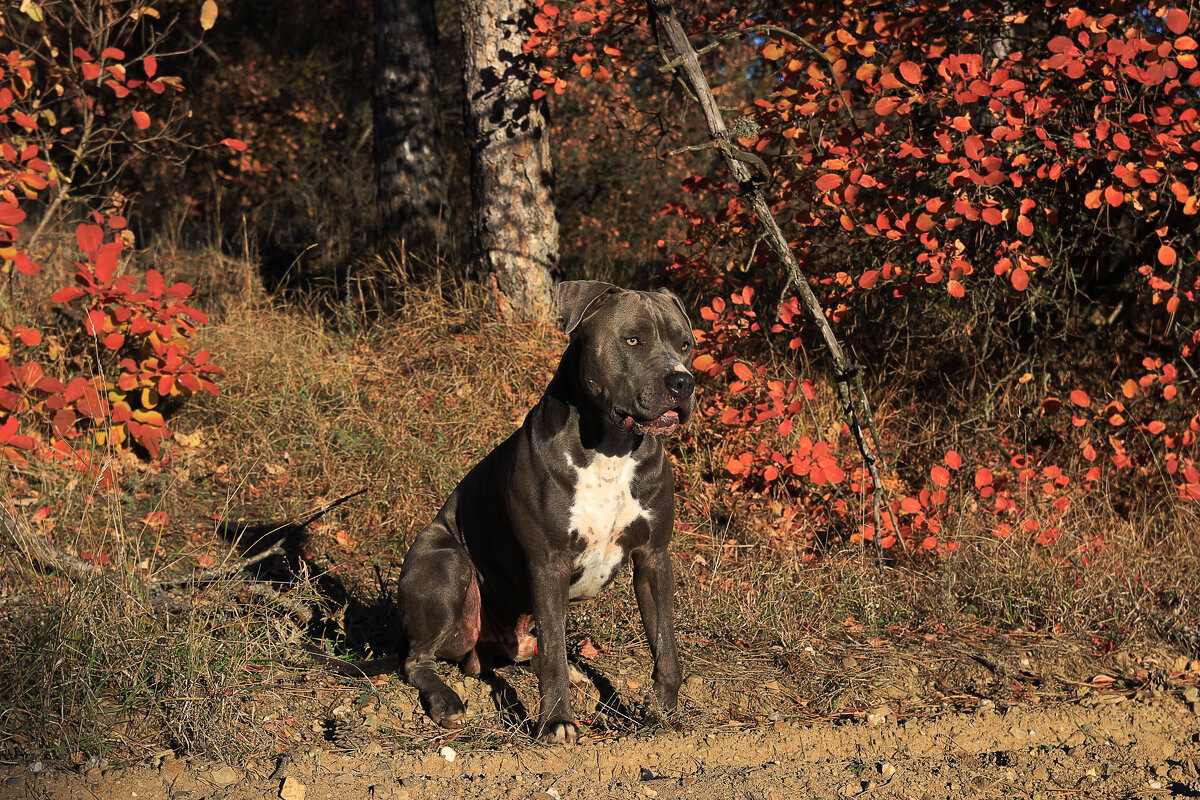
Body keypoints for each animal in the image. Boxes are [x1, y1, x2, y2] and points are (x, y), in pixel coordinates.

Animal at [396, 281, 696, 743]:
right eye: (633, 340)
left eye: (685, 344)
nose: (683, 381)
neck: (611, 450)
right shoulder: (548, 563)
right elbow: (554, 652)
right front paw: (556, 721)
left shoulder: (653, 559)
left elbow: (666, 645)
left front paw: (664, 711)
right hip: (445, 564)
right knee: (417, 659)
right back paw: (447, 701)